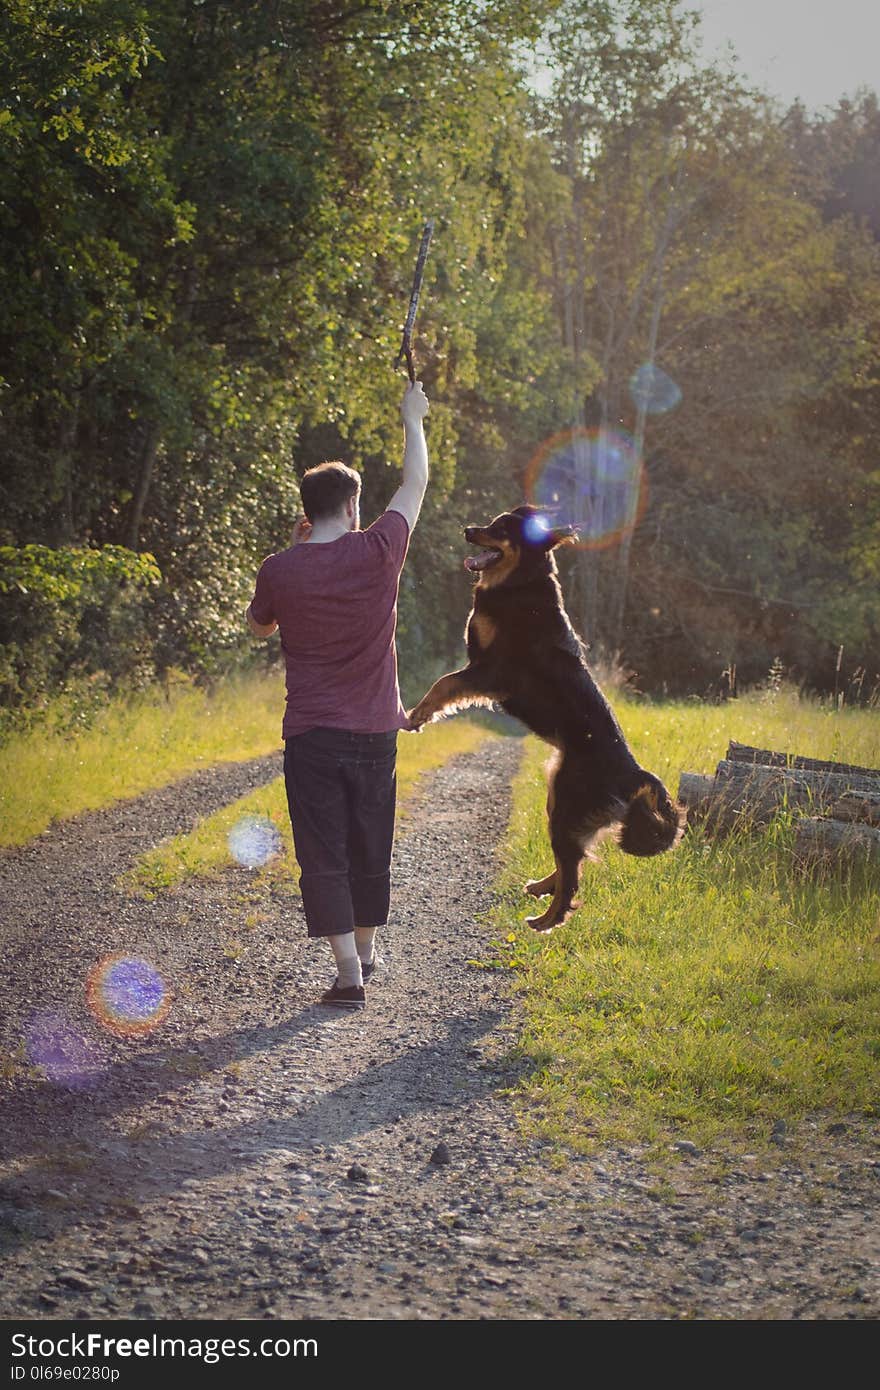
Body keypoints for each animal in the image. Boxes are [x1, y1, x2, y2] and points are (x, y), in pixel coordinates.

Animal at [405, 505, 686, 928]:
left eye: (500, 528)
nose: (468, 530)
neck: (518, 583)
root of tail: (634, 774)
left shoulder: (493, 671)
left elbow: (443, 683)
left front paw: (417, 715)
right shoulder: (484, 670)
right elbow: (445, 683)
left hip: (567, 805)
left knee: (572, 876)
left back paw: (545, 920)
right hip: (559, 799)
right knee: (575, 861)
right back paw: (542, 888)